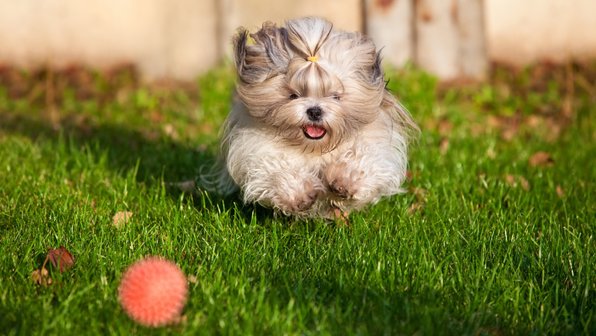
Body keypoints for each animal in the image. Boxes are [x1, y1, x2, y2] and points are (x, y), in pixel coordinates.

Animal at [213, 17, 414, 219]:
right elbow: (275, 167)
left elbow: (364, 156)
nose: (315, 111)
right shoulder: (254, 147)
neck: (315, 148)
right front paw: (299, 195)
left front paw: (345, 181)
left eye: (335, 96)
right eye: (293, 95)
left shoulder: (376, 143)